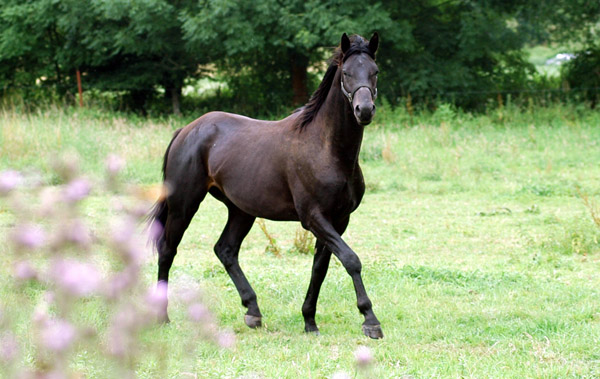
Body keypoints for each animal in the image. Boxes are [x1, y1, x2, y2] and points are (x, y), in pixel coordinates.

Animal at [150, 32, 384, 340]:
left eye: (375, 71)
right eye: (346, 73)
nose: (364, 110)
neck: (326, 149)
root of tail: (186, 131)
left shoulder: (338, 219)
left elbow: (320, 268)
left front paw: (309, 320)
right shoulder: (314, 217)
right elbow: (350, 259)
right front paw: (370, 320)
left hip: (241, 211)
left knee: (225, 250)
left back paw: (252, 311)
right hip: (184, 205)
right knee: (167, 250)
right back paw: (162, 317)